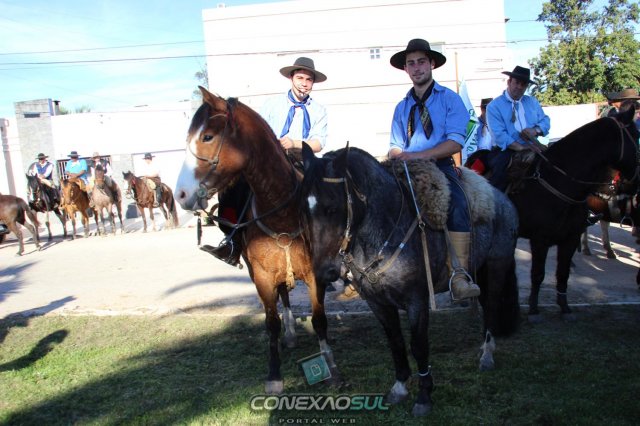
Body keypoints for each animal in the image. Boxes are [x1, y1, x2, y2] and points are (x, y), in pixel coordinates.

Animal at [174, 87, 337, 394]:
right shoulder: (261, 275)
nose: (181, 195)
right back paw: (289, 334)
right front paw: (274, 375)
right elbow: (270, 322)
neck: (282, 210)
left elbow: (319, 318)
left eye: (207, 137)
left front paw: (330, 362)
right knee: (283, 295)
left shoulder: (314, 274)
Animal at [300, 145, 520, 416]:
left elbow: (418, 345)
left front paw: (424, 396)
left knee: (491, 307)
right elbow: (396, 342)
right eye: (302, 209)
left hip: (497, 265)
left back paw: (487, 355)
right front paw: (400, 387)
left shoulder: (417, 300)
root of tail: (503, 199)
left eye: (332, 207)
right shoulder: (378, 303)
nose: (324, 272)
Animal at [509, 108, 639, 320]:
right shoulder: (540, 240)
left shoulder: (570, 238)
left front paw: (564, 307)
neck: (560, 183)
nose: (634, 183)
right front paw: (534, 309)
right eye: (636, 135)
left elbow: (563, 274)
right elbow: (537, 274)